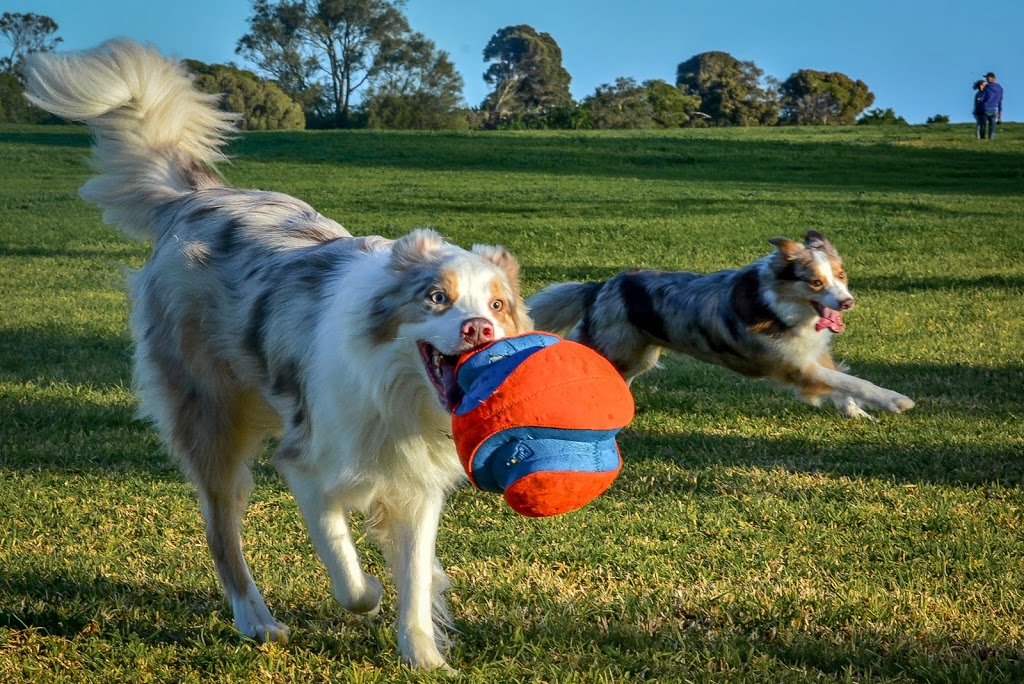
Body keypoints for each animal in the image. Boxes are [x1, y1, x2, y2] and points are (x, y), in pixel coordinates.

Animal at [27, 38, 532, 667]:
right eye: (437, 298)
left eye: (498, 305)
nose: (479, 331)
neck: (393, 389)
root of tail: (199, 198)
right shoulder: (305, 462)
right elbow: (345, 563)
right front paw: (368, 593)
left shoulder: (415, 483)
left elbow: (415, 576)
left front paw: (423, 656)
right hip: (210, 416)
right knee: (221, 530)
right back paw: (256, 619)